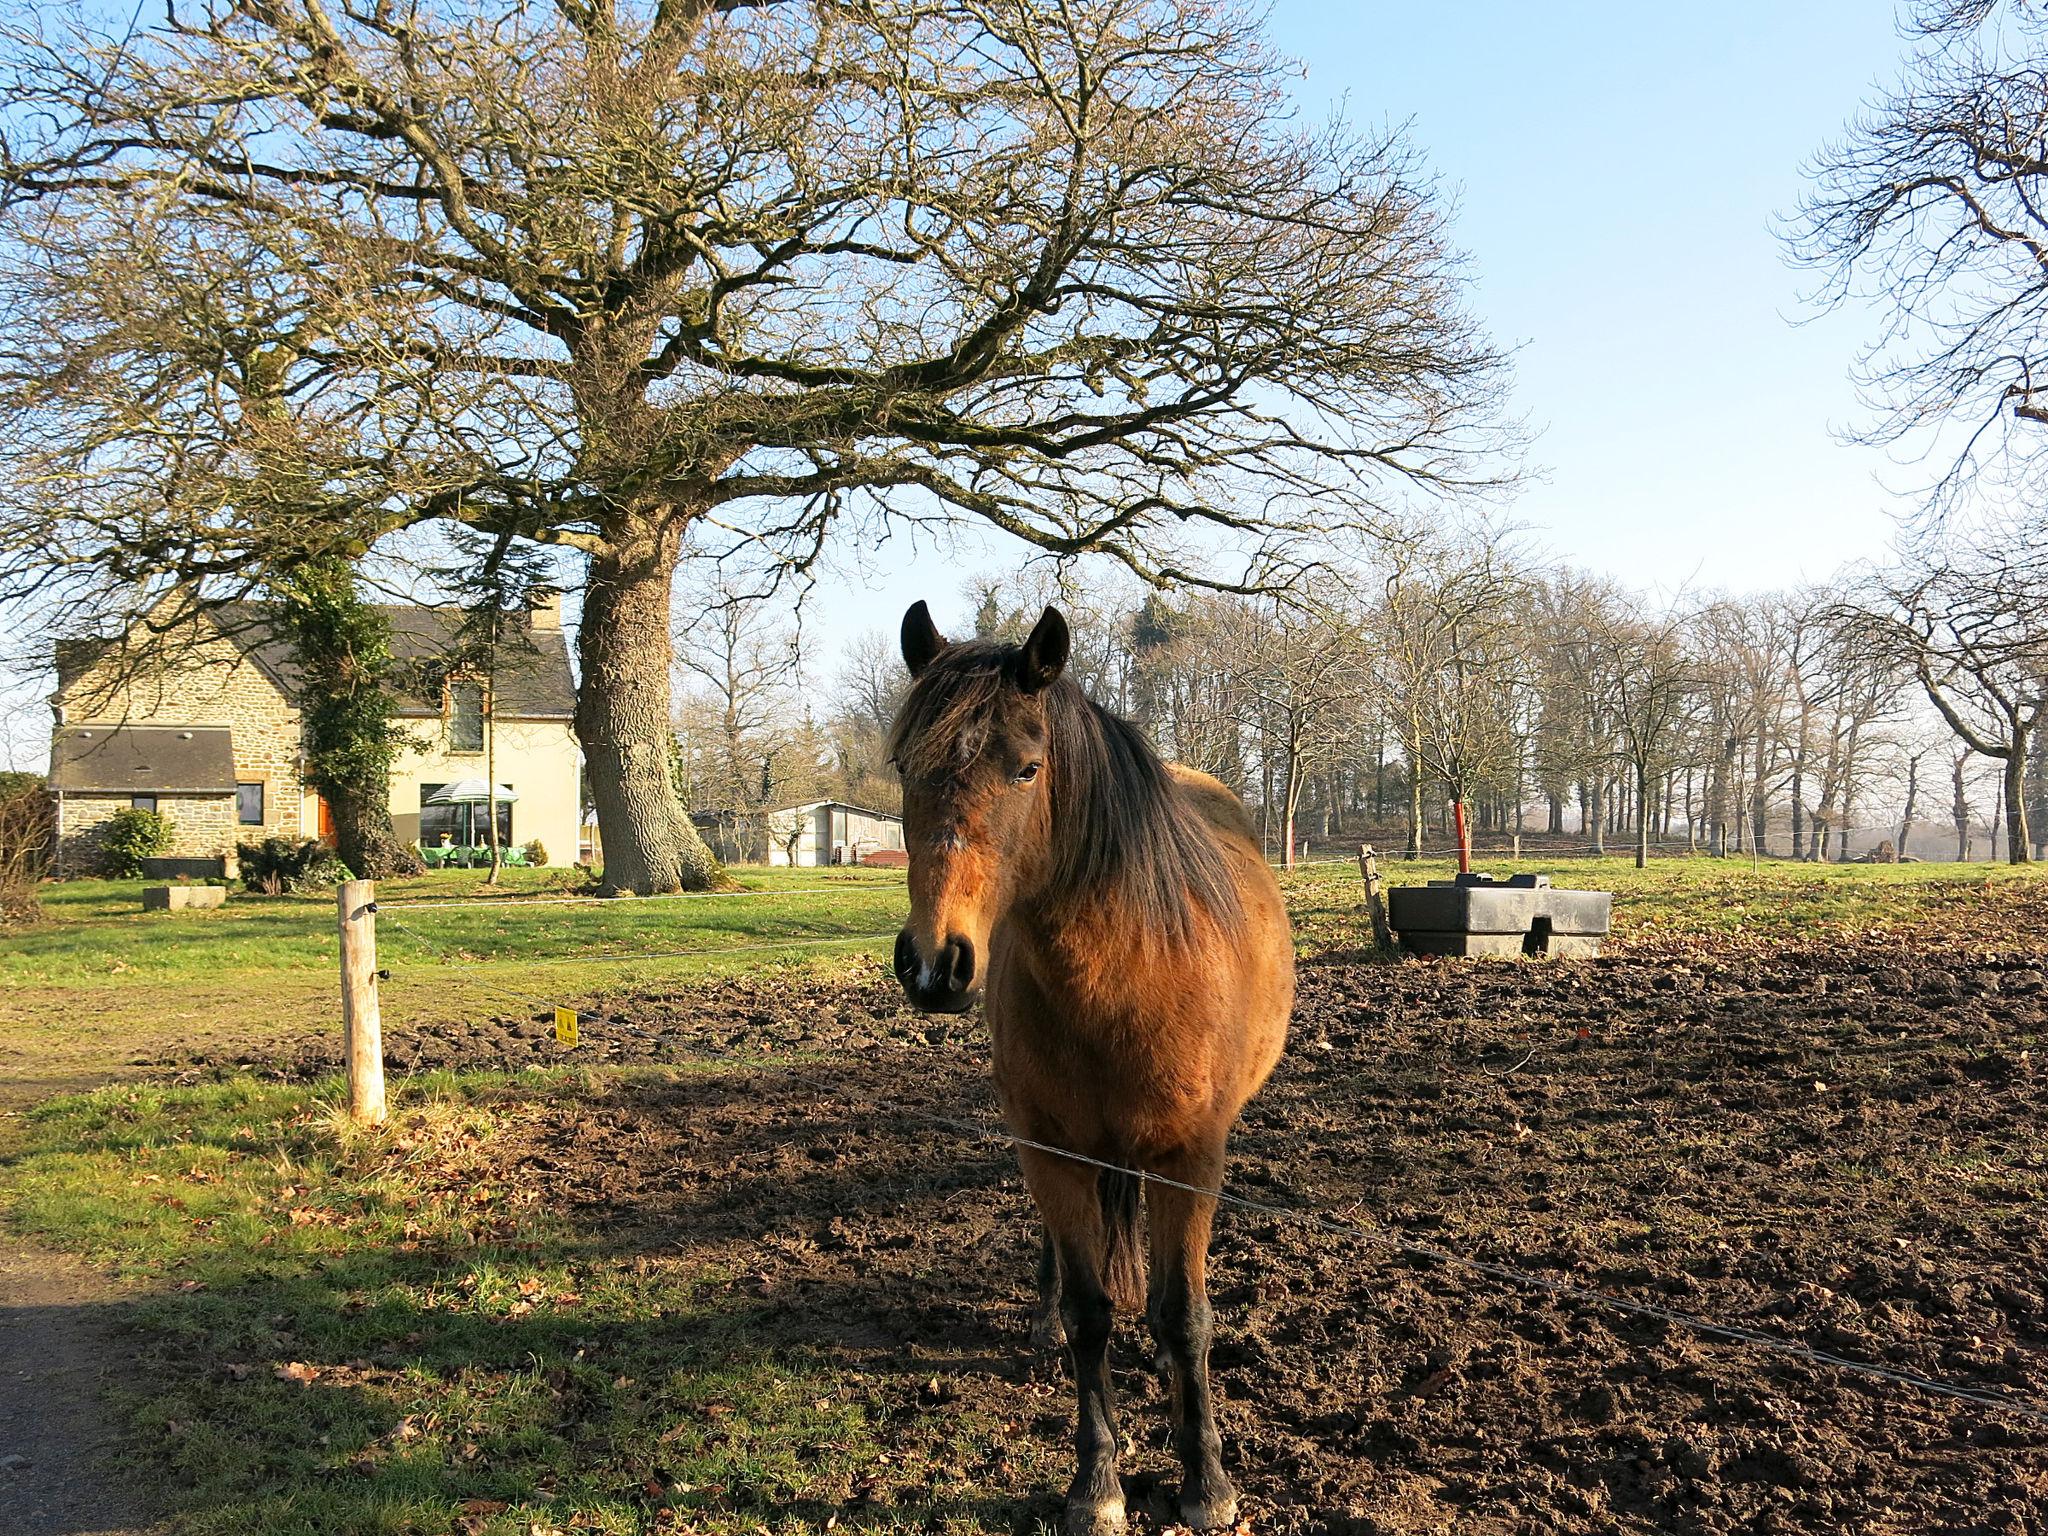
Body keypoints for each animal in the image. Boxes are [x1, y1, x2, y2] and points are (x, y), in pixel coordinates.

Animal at [888, 606, 1286, 1536]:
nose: (933, 965)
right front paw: (1096, 1483)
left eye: (1027, 767)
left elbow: (1184, 1315)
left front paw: (1207, 1482)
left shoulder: (1190, 1158)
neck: (1131, 969)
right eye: (903, 767)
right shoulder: (1051, 1148)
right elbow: (1090, 1311)